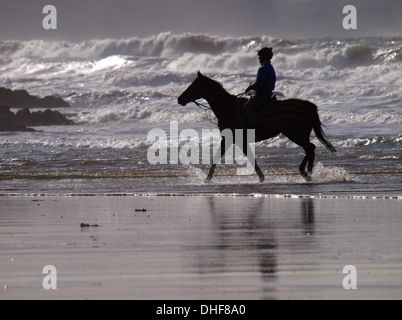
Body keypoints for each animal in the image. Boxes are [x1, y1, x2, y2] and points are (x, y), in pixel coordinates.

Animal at [177, 72, 338, 182]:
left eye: (193, 86)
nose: (179, 99)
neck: (228, 108)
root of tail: (308, 105)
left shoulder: (235, 139)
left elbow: (235, 157)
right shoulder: (232, 140)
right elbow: (236, 156)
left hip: (295, 133)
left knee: (310, 148)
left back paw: (305, 172)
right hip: (298, 134)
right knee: (310, 149)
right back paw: (309, 172)